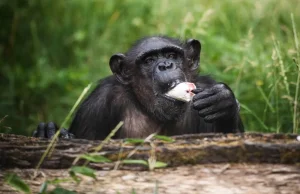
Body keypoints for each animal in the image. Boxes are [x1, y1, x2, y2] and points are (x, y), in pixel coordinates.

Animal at [32, 36, 244, 139]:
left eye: (172, 55)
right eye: (149, 60)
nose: (165, 65)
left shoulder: (206, 86)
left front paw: (223, 101)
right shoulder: (96, 105)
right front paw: (51, 132)